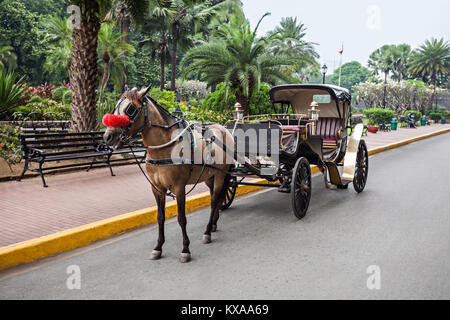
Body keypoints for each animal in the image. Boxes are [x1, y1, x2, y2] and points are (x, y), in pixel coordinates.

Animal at [103, 87, 234, 262]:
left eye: (130, 109)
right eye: (115, 106)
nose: (107, 137)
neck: (164, 148)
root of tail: (224, 129)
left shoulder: (179, 187)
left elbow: (181, 218)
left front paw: (185, 249)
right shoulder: (157, 188)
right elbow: (160, 218)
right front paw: (158, 247)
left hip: (220, 175)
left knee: (214, 201)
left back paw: (207, 231)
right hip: (210, 176)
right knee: (216, 197)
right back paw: (213, 224)